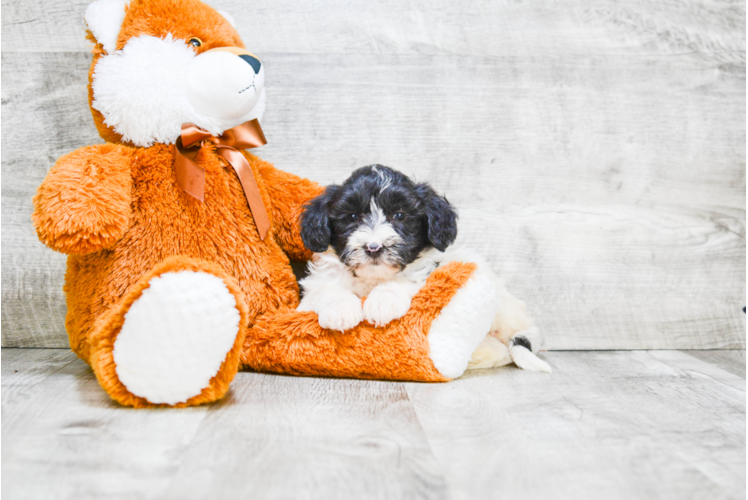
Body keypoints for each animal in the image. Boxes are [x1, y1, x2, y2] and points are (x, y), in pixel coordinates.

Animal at [296, 164, 548, 372]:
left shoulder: (428, 271)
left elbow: (406, 279)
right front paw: (341, 310)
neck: (373, 278)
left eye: (399, 215)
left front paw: (382, 301)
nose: (374, 247)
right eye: (352, 216)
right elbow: (326, 288)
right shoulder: (314, 288)